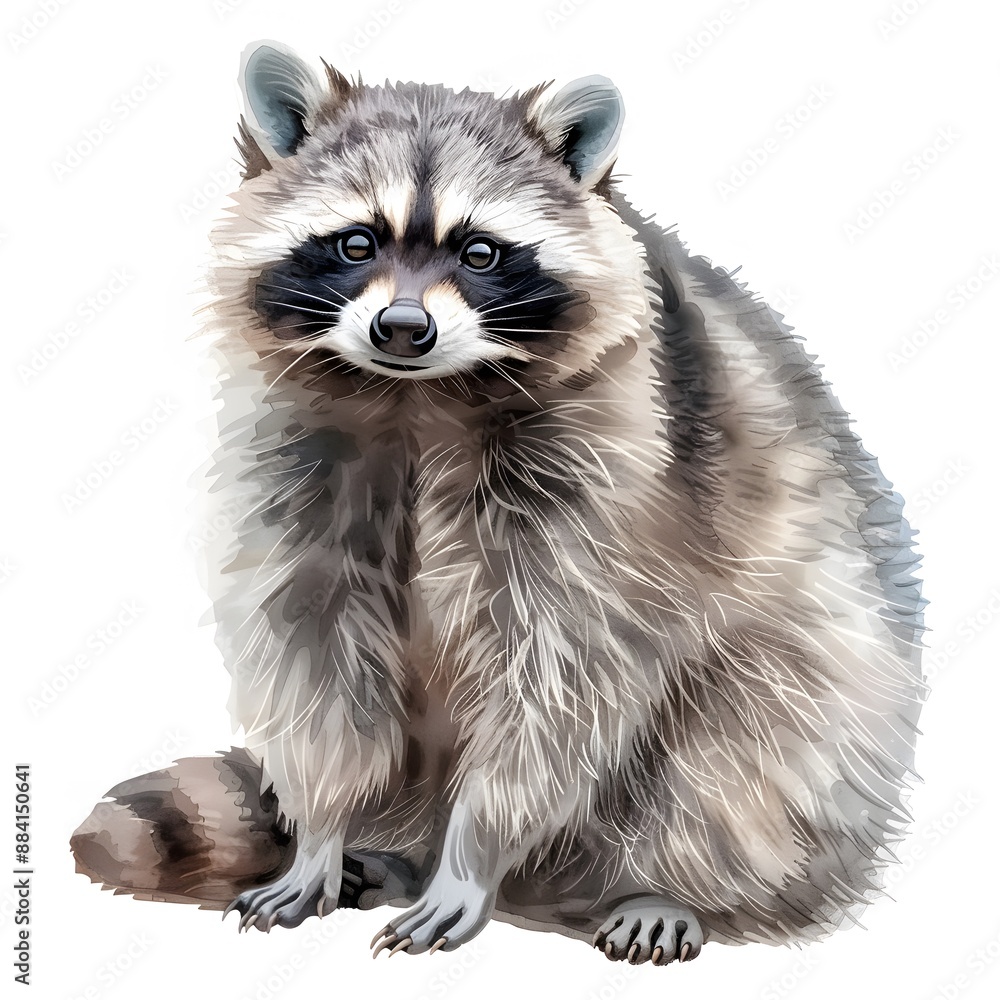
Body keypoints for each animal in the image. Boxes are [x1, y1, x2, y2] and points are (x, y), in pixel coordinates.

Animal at [70, 41, 924, 966]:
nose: (402, 328)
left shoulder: (613, 473)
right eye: (355, 241)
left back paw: (665, 885)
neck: (414, 395)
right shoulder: (295, 461)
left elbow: (561, 678)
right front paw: (323, 831)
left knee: (745, 751)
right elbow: (315, 655)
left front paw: (472, 855)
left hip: (821, 683)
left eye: (480, 252)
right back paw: (388, 853)